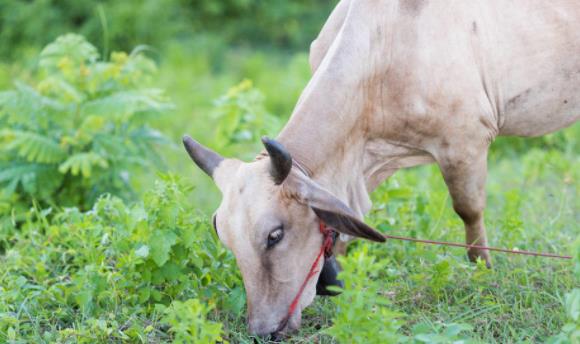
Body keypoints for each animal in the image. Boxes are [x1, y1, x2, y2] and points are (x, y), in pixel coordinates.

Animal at [182, 0, 580, 338]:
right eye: (226, 240)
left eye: (274, 235)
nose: (262, 330)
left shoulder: (464, 143)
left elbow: (469, 213)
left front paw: (483, 275)